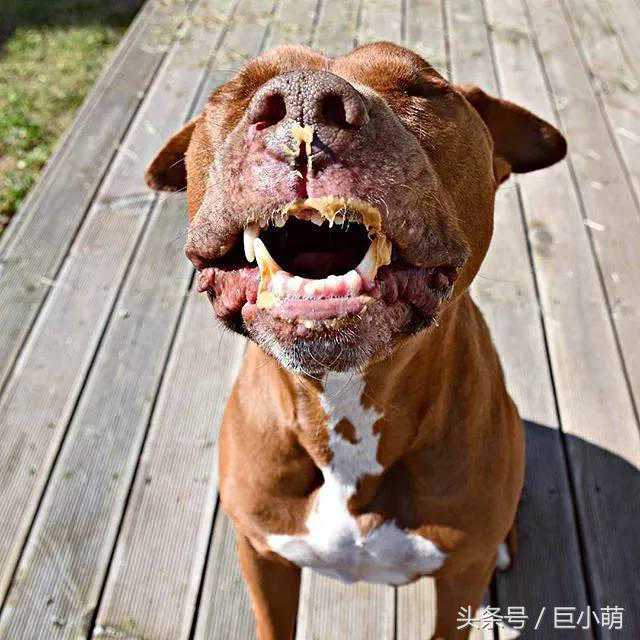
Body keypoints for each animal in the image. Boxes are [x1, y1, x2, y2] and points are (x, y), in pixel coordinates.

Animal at [145, 42, 566, 639]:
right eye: (234, 92)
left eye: (421, 88)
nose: (304, 102)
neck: (344, 406)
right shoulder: (262, 557)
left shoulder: (458, 578)